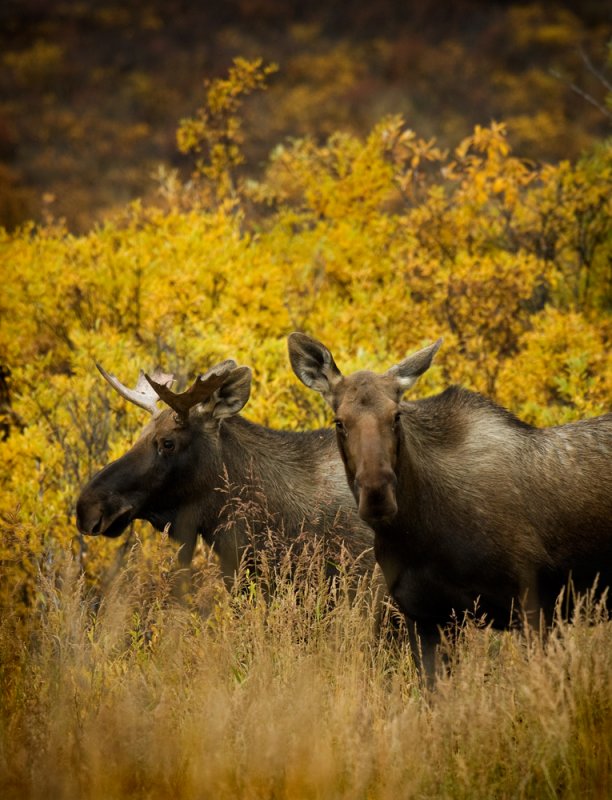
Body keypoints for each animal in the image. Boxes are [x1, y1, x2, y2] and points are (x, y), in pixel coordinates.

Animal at [288, 332, 612, 676]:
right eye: (339, 422)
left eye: (396, 415)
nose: (377, 494)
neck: (420, 534)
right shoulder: (425, 617)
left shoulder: (534, 603)